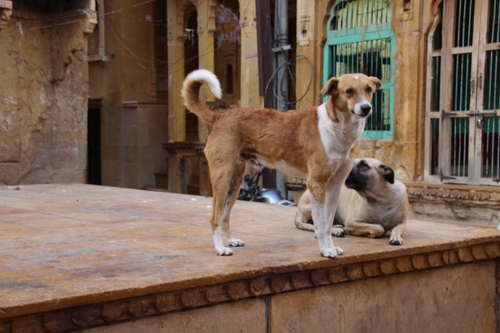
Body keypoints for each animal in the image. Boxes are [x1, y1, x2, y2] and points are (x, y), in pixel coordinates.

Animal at [182, 69, 380, 256]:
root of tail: (219, 117)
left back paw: (230, 241)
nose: (366, 108)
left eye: (369, 89)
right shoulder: (316, 183)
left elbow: (328, 223)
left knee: (224, 216)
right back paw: (220, 248)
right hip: (222, 177)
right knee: (215, 217)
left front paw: (331, 247)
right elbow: (321, 224)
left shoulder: (335, 186)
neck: (337, 126)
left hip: (235, 182)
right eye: (349, 91)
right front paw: (325, 251)